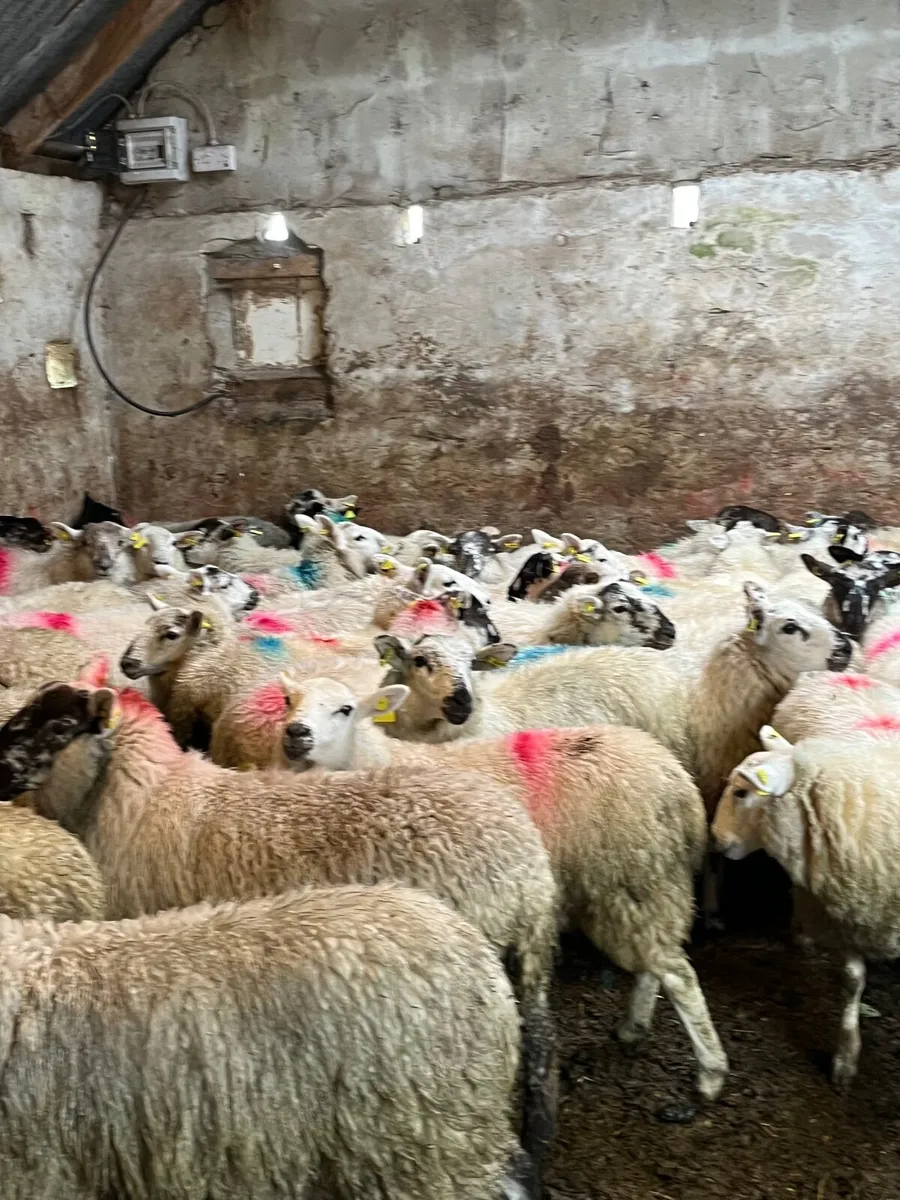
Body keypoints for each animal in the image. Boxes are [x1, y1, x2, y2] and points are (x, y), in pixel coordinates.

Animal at [272, 674, 728, 1100]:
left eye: (345, 709)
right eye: (289, 700)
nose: (295, 734)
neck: (375, 758)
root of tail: (676, 778)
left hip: (629, 875)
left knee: (677, 973)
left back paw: (710, 1073)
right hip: (640, 883)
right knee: (656, 961)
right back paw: (634, 1027)